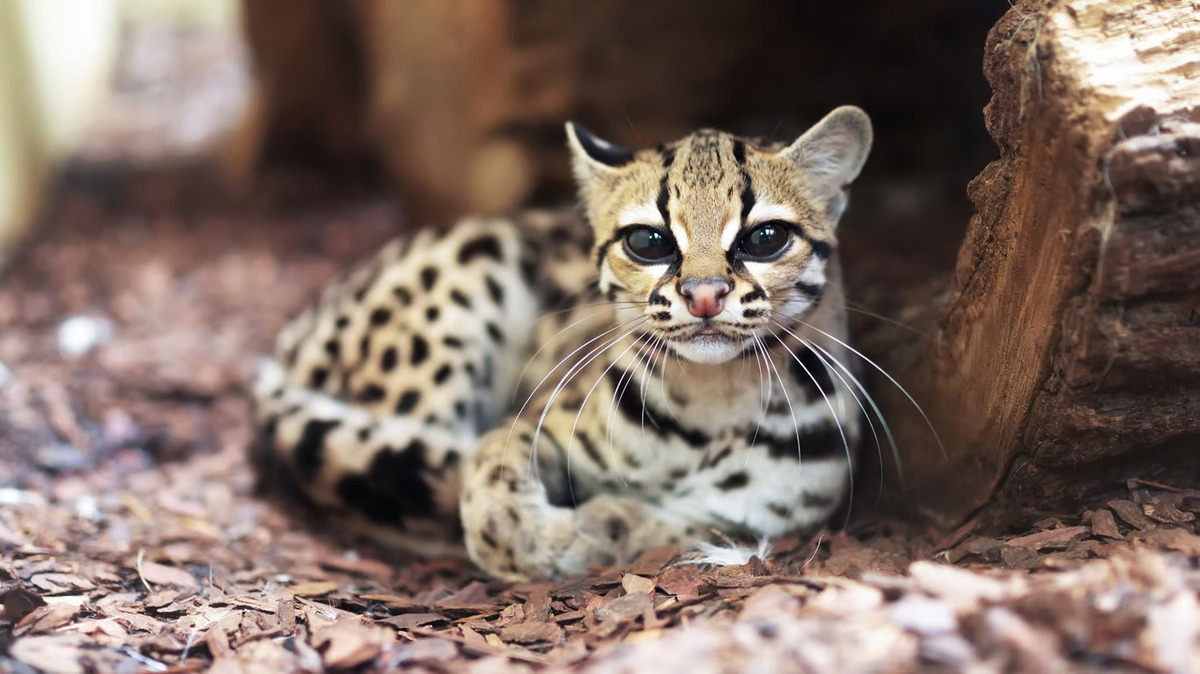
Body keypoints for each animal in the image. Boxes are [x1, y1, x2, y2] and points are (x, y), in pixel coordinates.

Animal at [250, 104, 873, 578]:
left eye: (765, 237)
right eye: (648, 241)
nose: (703, 295)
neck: (712, 398)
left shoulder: (777, 507)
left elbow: (685, 522)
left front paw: (603, 524)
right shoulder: (541, 416)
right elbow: (492, 469)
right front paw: (548, 538)